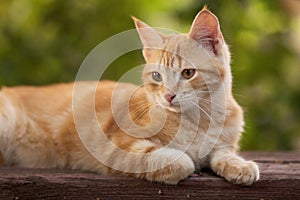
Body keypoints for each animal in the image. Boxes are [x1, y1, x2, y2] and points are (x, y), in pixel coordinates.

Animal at [0, 7, 258, 185]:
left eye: (188, 73)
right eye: (157, 76)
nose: (169, 96)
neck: (200, 120)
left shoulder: (223, 143)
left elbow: (224, 153)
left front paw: (240, 165)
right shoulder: (117, 149)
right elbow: (180, 160)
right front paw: (189, 163)